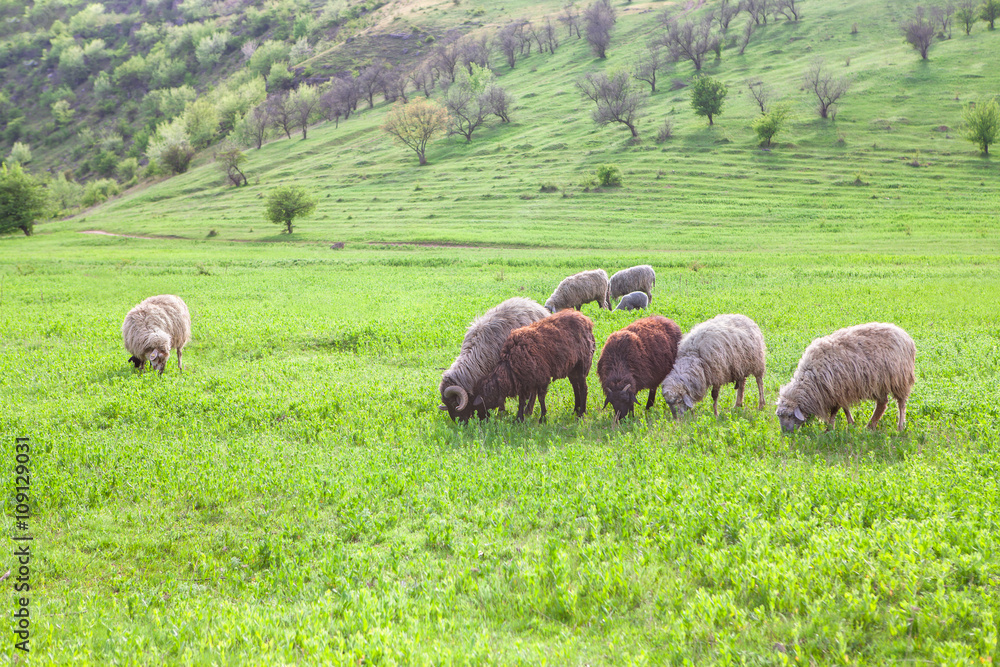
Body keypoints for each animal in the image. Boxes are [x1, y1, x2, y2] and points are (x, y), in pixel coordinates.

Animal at [775, 322, 916, 432]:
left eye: (789, 416)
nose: (785, 434)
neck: (812, 377)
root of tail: (905, 336)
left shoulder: (836, 390)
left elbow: (834, 411)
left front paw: (829, 428)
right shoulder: (841, 390)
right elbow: (845, 408)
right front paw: (851, 424)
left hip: (900, 379)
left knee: (901, 404)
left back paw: (900, 426)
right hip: (880, 383)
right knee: (882, 404)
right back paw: (870, 425)